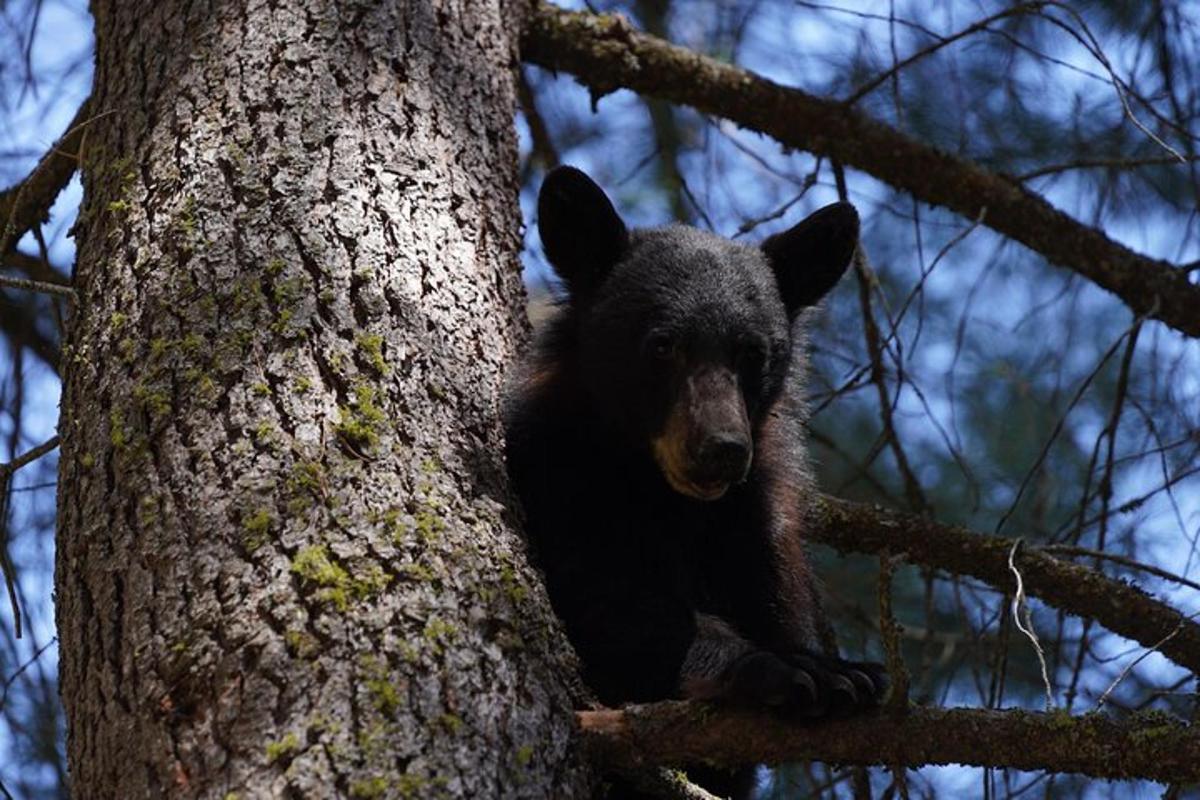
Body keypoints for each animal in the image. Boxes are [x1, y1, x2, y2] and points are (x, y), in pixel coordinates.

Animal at [501, 165, 888, 796]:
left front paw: (841, 668)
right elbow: (600, 597)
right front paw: (790, 668)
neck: (669, 500)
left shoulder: (758, 523)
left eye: (752, 352)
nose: (723, 451)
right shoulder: (557, 476)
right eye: (663, 344)